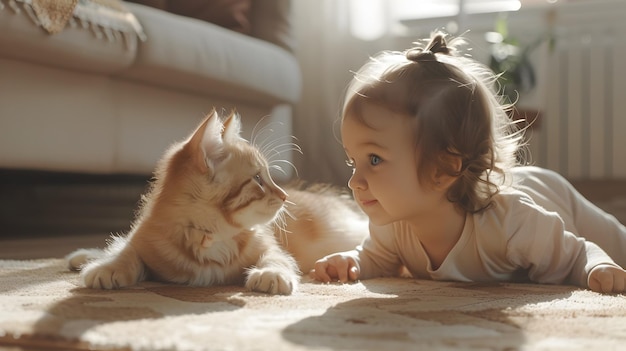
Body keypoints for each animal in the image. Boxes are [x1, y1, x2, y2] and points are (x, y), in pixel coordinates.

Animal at [66, 109, 368, 294]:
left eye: (268, 176)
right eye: (258, 179)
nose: (284, 196)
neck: (212, 235)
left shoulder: (272, 247)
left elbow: (277, 259)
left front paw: (271, 274)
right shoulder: (146, 236)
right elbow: (127, 250)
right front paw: (109, 266)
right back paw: (85, 256)